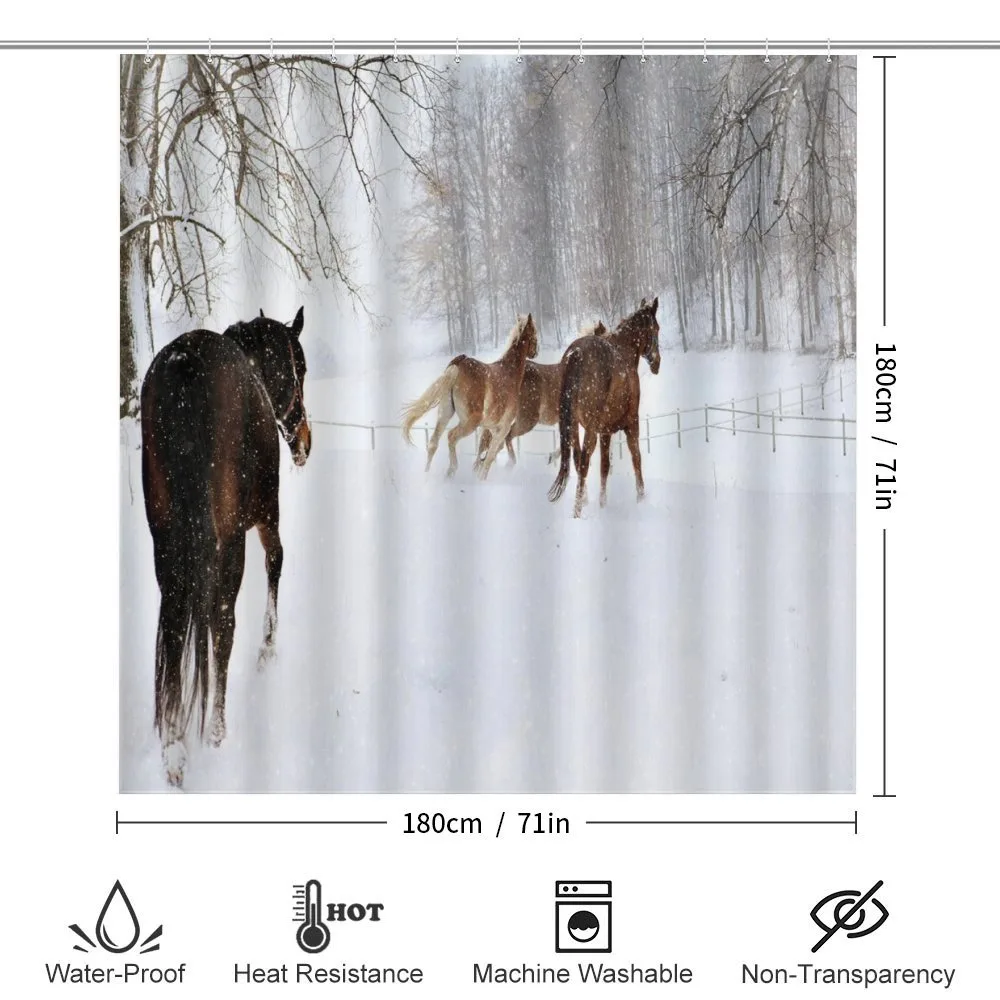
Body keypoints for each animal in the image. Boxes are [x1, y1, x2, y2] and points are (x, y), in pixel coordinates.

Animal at [140, 307, 311, 787]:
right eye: (302, 368)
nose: (305, 442)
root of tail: (185, 364)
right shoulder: (265, 516)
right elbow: (276, 563)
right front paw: (268, 650)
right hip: (230, 540)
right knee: (221, 622)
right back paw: (215, 730)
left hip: (167, 543)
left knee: (175, 626)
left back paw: (174, 751)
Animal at [400, 314, 539, 479]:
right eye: (535, 333)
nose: (535, 352)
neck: (510, 373)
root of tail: (459, 362)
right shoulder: (502, 428)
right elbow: (490, 456)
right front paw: (481, 478)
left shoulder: (492, 428)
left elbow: (488, 452)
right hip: (470, 421)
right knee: (451, 436)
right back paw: (451, 470)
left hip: (445, 413)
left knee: (433, 442)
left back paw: (428, 474)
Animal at [547, 297, 661, 517]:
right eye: (656, 329)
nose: (657, 363)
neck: (624, 350)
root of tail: (576, 354)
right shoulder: (632, 423)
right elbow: (636, 459)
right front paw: (641, 498)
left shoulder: (605, 431)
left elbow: (604, 467)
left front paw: (602, 504)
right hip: (590, 428)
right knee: (583, 461)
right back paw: (577, 511)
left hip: (573, 425)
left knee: (577, 459)